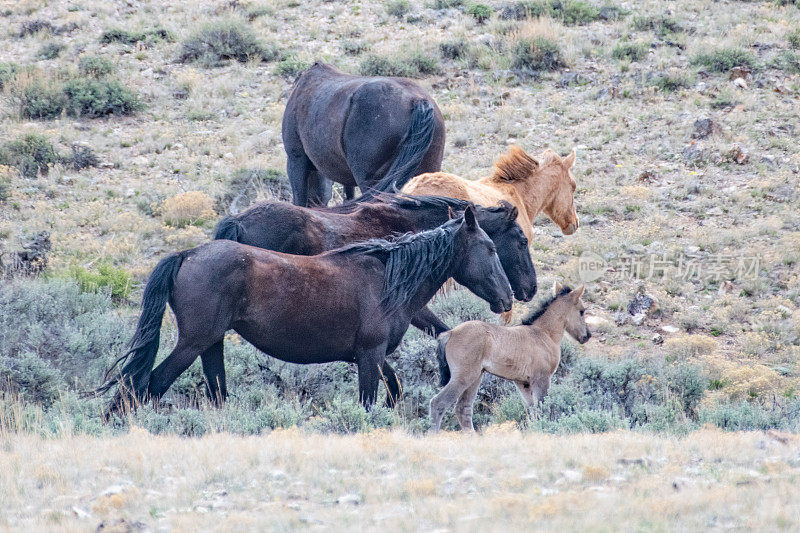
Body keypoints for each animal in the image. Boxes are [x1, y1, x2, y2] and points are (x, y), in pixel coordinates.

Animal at [97, 208, 512, 412]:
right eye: (491, 248)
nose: (508, 299)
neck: (387, 279)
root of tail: (188, 254)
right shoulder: (369, 355)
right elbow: (368, 403)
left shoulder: (373, 357)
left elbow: (393, 391)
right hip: (193, 343)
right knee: (147, 385)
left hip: (211, 344)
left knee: (215, 394)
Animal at [428, 282, 592, 432]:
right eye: (581, 311)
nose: (587, 336)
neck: (543, 333)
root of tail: (450, 333)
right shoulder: (541, 379)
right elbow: (541, 410)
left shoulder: (523, 383)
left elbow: (533, 411)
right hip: (463, 377)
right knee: (438, 403)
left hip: (475, 378)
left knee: (464, 409)